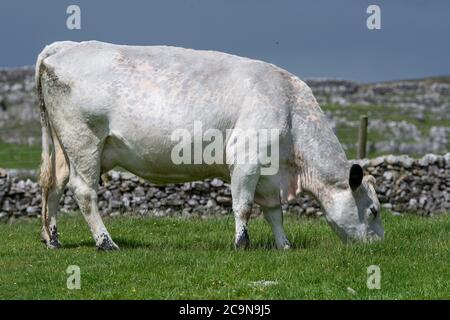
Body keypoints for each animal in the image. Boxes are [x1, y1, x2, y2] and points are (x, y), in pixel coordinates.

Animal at [36, 40, 384, 250]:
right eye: (374, 211)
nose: (379, 245)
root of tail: (66, 47)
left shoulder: (268, 173)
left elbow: (274, 212)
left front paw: (283, 246)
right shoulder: (246, 159)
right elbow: (243, 206)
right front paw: (242, 244)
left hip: (66, 148)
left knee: (54, 185)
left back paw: (53, 240)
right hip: (84, 141)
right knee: (83, 191)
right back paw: (106, 242)